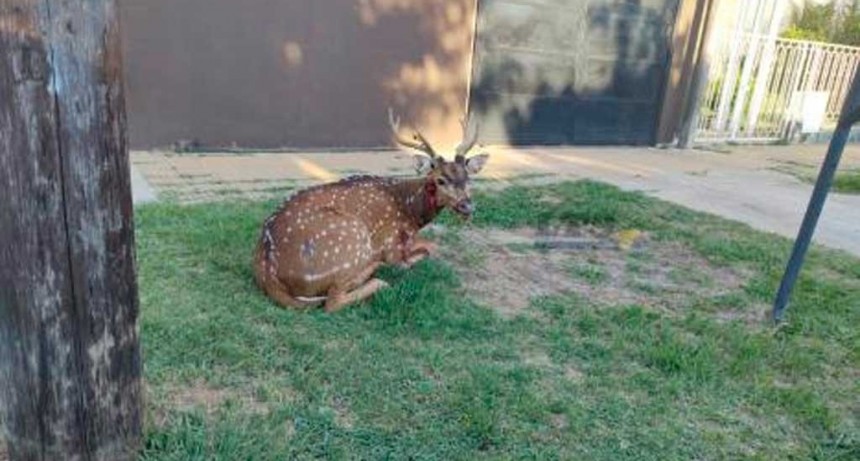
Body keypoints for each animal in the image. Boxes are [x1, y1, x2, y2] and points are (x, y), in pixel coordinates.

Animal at [254, 109, 490, 312]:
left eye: (467, 178)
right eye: (440, 180)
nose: (467, 206)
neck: (410, 211)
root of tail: (268, 273)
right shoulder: (391, 243)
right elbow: (430, 248)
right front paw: (405, 261)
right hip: (351, 238)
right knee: (334, 300)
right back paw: (374, 274)